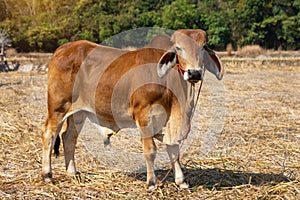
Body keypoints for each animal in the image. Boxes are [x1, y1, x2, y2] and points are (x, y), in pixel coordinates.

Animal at [41, 29, 223, 191]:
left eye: (203, 47)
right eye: (178, 48)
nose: (194, 73)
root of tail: (62, 49)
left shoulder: (170, 123)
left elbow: (173, 150)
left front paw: (181, 181)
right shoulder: (144, 115)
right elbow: (150, 151)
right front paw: (151, 183)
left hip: (78, 112)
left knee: (69, 137)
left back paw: (72, 172)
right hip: (58, 107)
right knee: (49, 134)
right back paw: (47, 175)